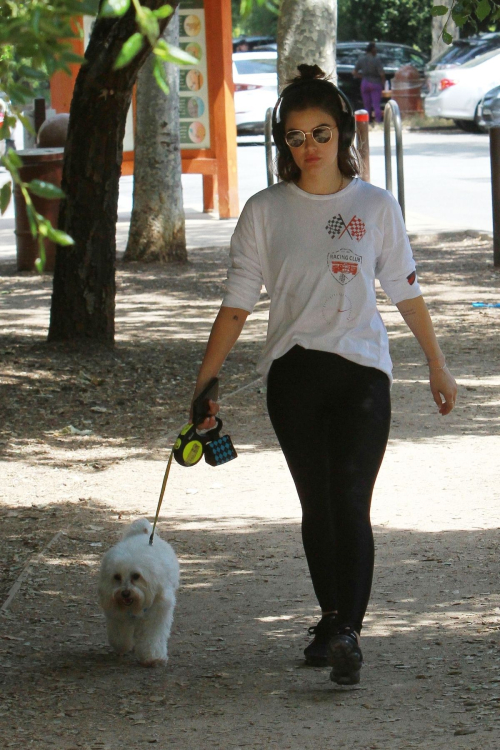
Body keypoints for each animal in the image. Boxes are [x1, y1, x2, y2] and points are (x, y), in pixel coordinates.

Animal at [97, 520, 180, 668]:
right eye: (117, 577)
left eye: (136, 576)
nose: (125, 593)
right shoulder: (117, 615)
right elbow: (120, 634)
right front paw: (122, 646)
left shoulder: (156, 613)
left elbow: (152, 636)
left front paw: (153, 657)